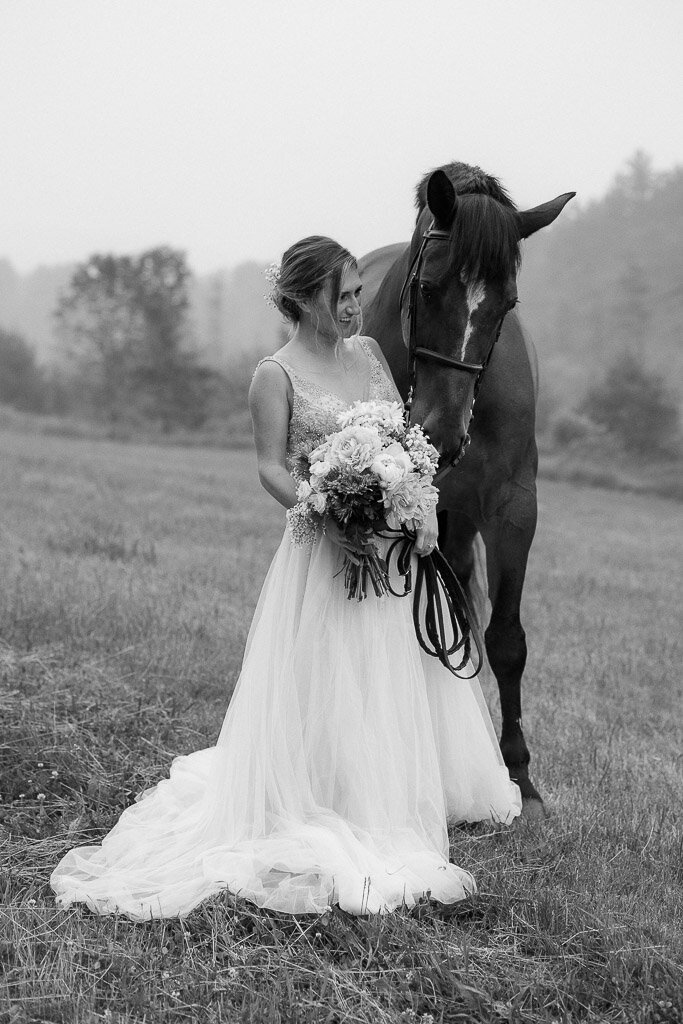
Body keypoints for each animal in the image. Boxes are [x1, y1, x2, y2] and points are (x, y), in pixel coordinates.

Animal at [360, 161, 573, 815]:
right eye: (428, 288)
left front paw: (521, 778)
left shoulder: (513, 510)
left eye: (508, 304)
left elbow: (505, 639)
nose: (442, 434)